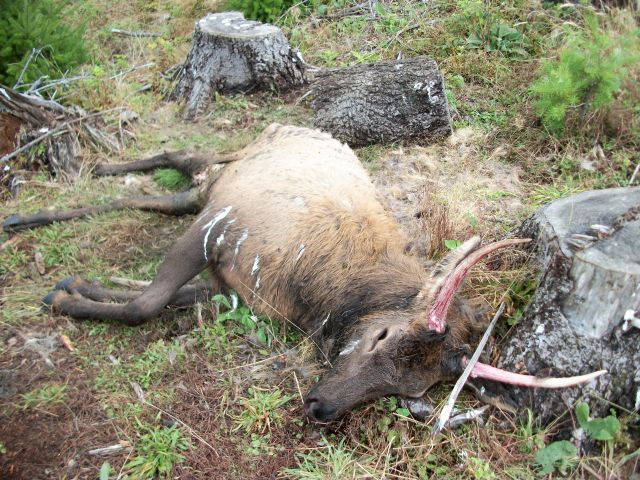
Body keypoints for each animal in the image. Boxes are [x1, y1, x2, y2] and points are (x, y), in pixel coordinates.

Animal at [3, 123, 606, 422]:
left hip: (203, 195)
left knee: (168, 195)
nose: (320, 408)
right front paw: (64, 302)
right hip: (218, 183)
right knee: (181, 153)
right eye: (382, 336)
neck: (317, 290)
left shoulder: (231, 287)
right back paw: (87, 171)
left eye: (407, 387)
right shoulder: (217, 228)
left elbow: (160, 297)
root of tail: (287, 119)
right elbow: (144, 304)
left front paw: (72, 288)